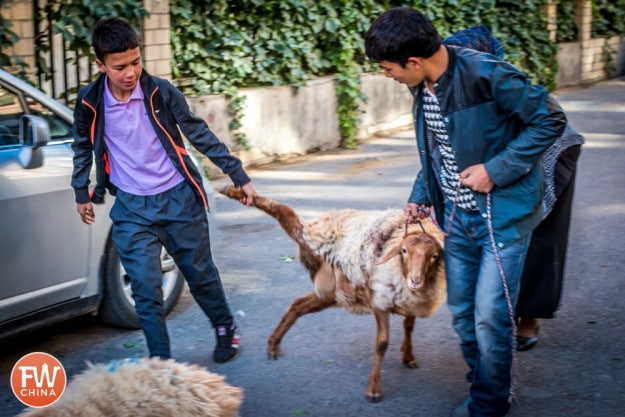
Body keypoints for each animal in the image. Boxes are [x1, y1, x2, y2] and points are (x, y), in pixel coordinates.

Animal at [219, 185, 444, 400]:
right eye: (404, 251)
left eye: (434, 256)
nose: (415, 281)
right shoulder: (381, 300)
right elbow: (382, 343)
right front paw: (373, 390)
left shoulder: (409, 302)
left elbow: (409, 328)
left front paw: (408, 356)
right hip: (312, 238)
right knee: (285, 212)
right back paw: (233, 191)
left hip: (332, 292)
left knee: (297, 305)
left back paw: (273, 344)